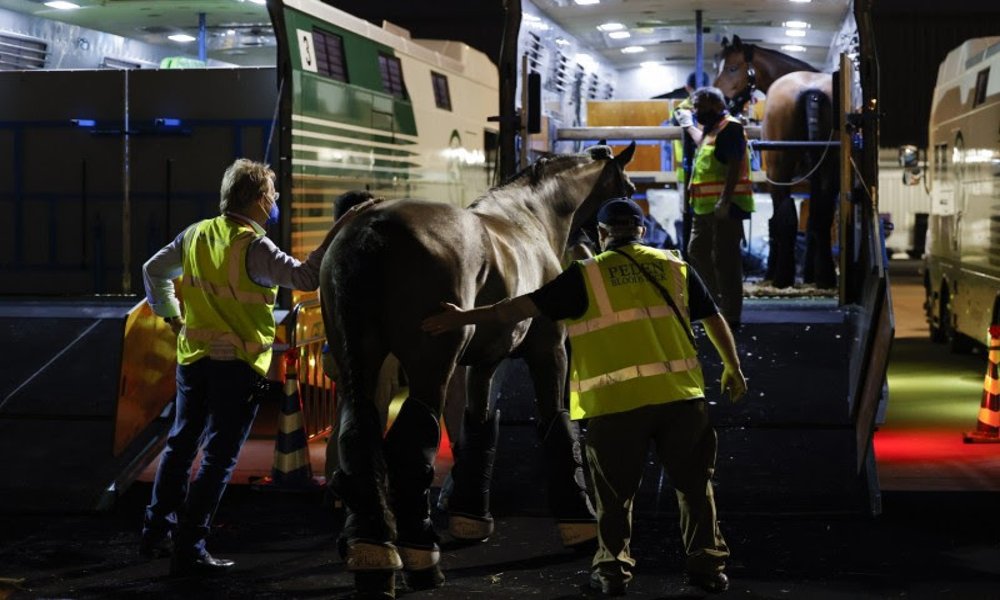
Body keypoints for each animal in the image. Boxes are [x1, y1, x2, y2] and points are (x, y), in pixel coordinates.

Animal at [320, 142, 632, 596]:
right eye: (627, 185)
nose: (592, 243)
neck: (528, 215)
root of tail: (374, 228)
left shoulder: (483, 364)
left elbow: (478, 428)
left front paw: (470, 516)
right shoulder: (549, 350)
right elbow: (557, 425)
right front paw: (580, 521)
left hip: (358, 362)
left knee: (358, 432)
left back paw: (372, 552)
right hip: (430, 366)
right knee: (413, 440)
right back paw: (421, 558)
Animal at [716, 34, 840, 288]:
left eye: (732, 68)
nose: (720, 100)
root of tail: (811, 90)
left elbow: (776, 222)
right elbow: (813, 220)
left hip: (779, 171)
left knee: (786, 217)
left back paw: (782, 277)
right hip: (826, 169)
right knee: (821, 217)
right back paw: (825, 278)